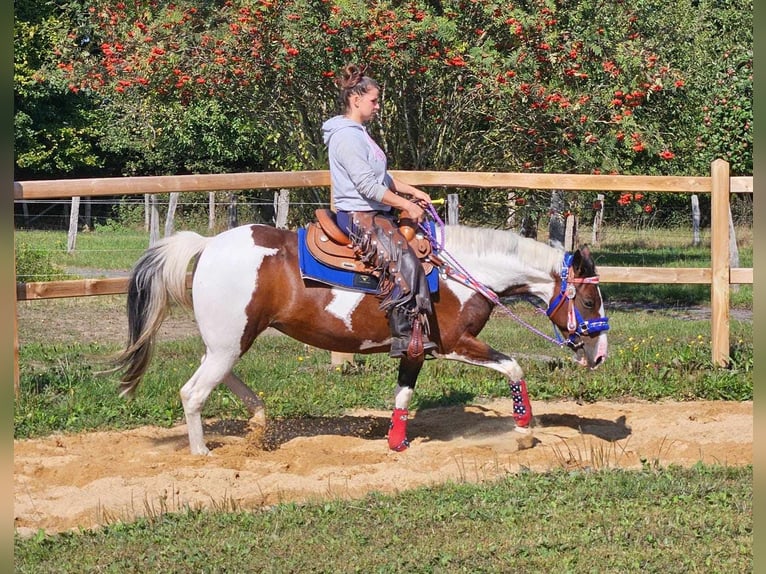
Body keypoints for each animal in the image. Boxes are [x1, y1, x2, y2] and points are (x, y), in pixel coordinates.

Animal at [117, 223, 612, 456]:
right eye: (589, 300)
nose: (600, 354)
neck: (465, 272)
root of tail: (208, 245)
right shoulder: (456, 343)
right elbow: (514, 365)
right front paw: (524, 432)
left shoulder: (416, 349)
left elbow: (403, 394)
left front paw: (396, 442)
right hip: (228, 343)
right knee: (193, 392)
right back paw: (202, 450)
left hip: (228, 341)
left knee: (219, 379)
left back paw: (257, 421)